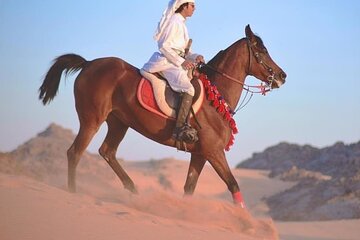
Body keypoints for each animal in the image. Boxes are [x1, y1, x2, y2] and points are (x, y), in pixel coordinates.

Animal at [39, 24, 286, 208]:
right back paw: (73, 192)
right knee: (75, 152)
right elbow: (233, 185)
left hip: (119, 123)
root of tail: (89, 64)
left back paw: (132, 188)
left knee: (107, 152)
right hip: (92, 120)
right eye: (262, 52)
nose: (282, 76)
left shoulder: (200, 154)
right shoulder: (213, 152)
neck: (216, 95)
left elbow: (189, 188)